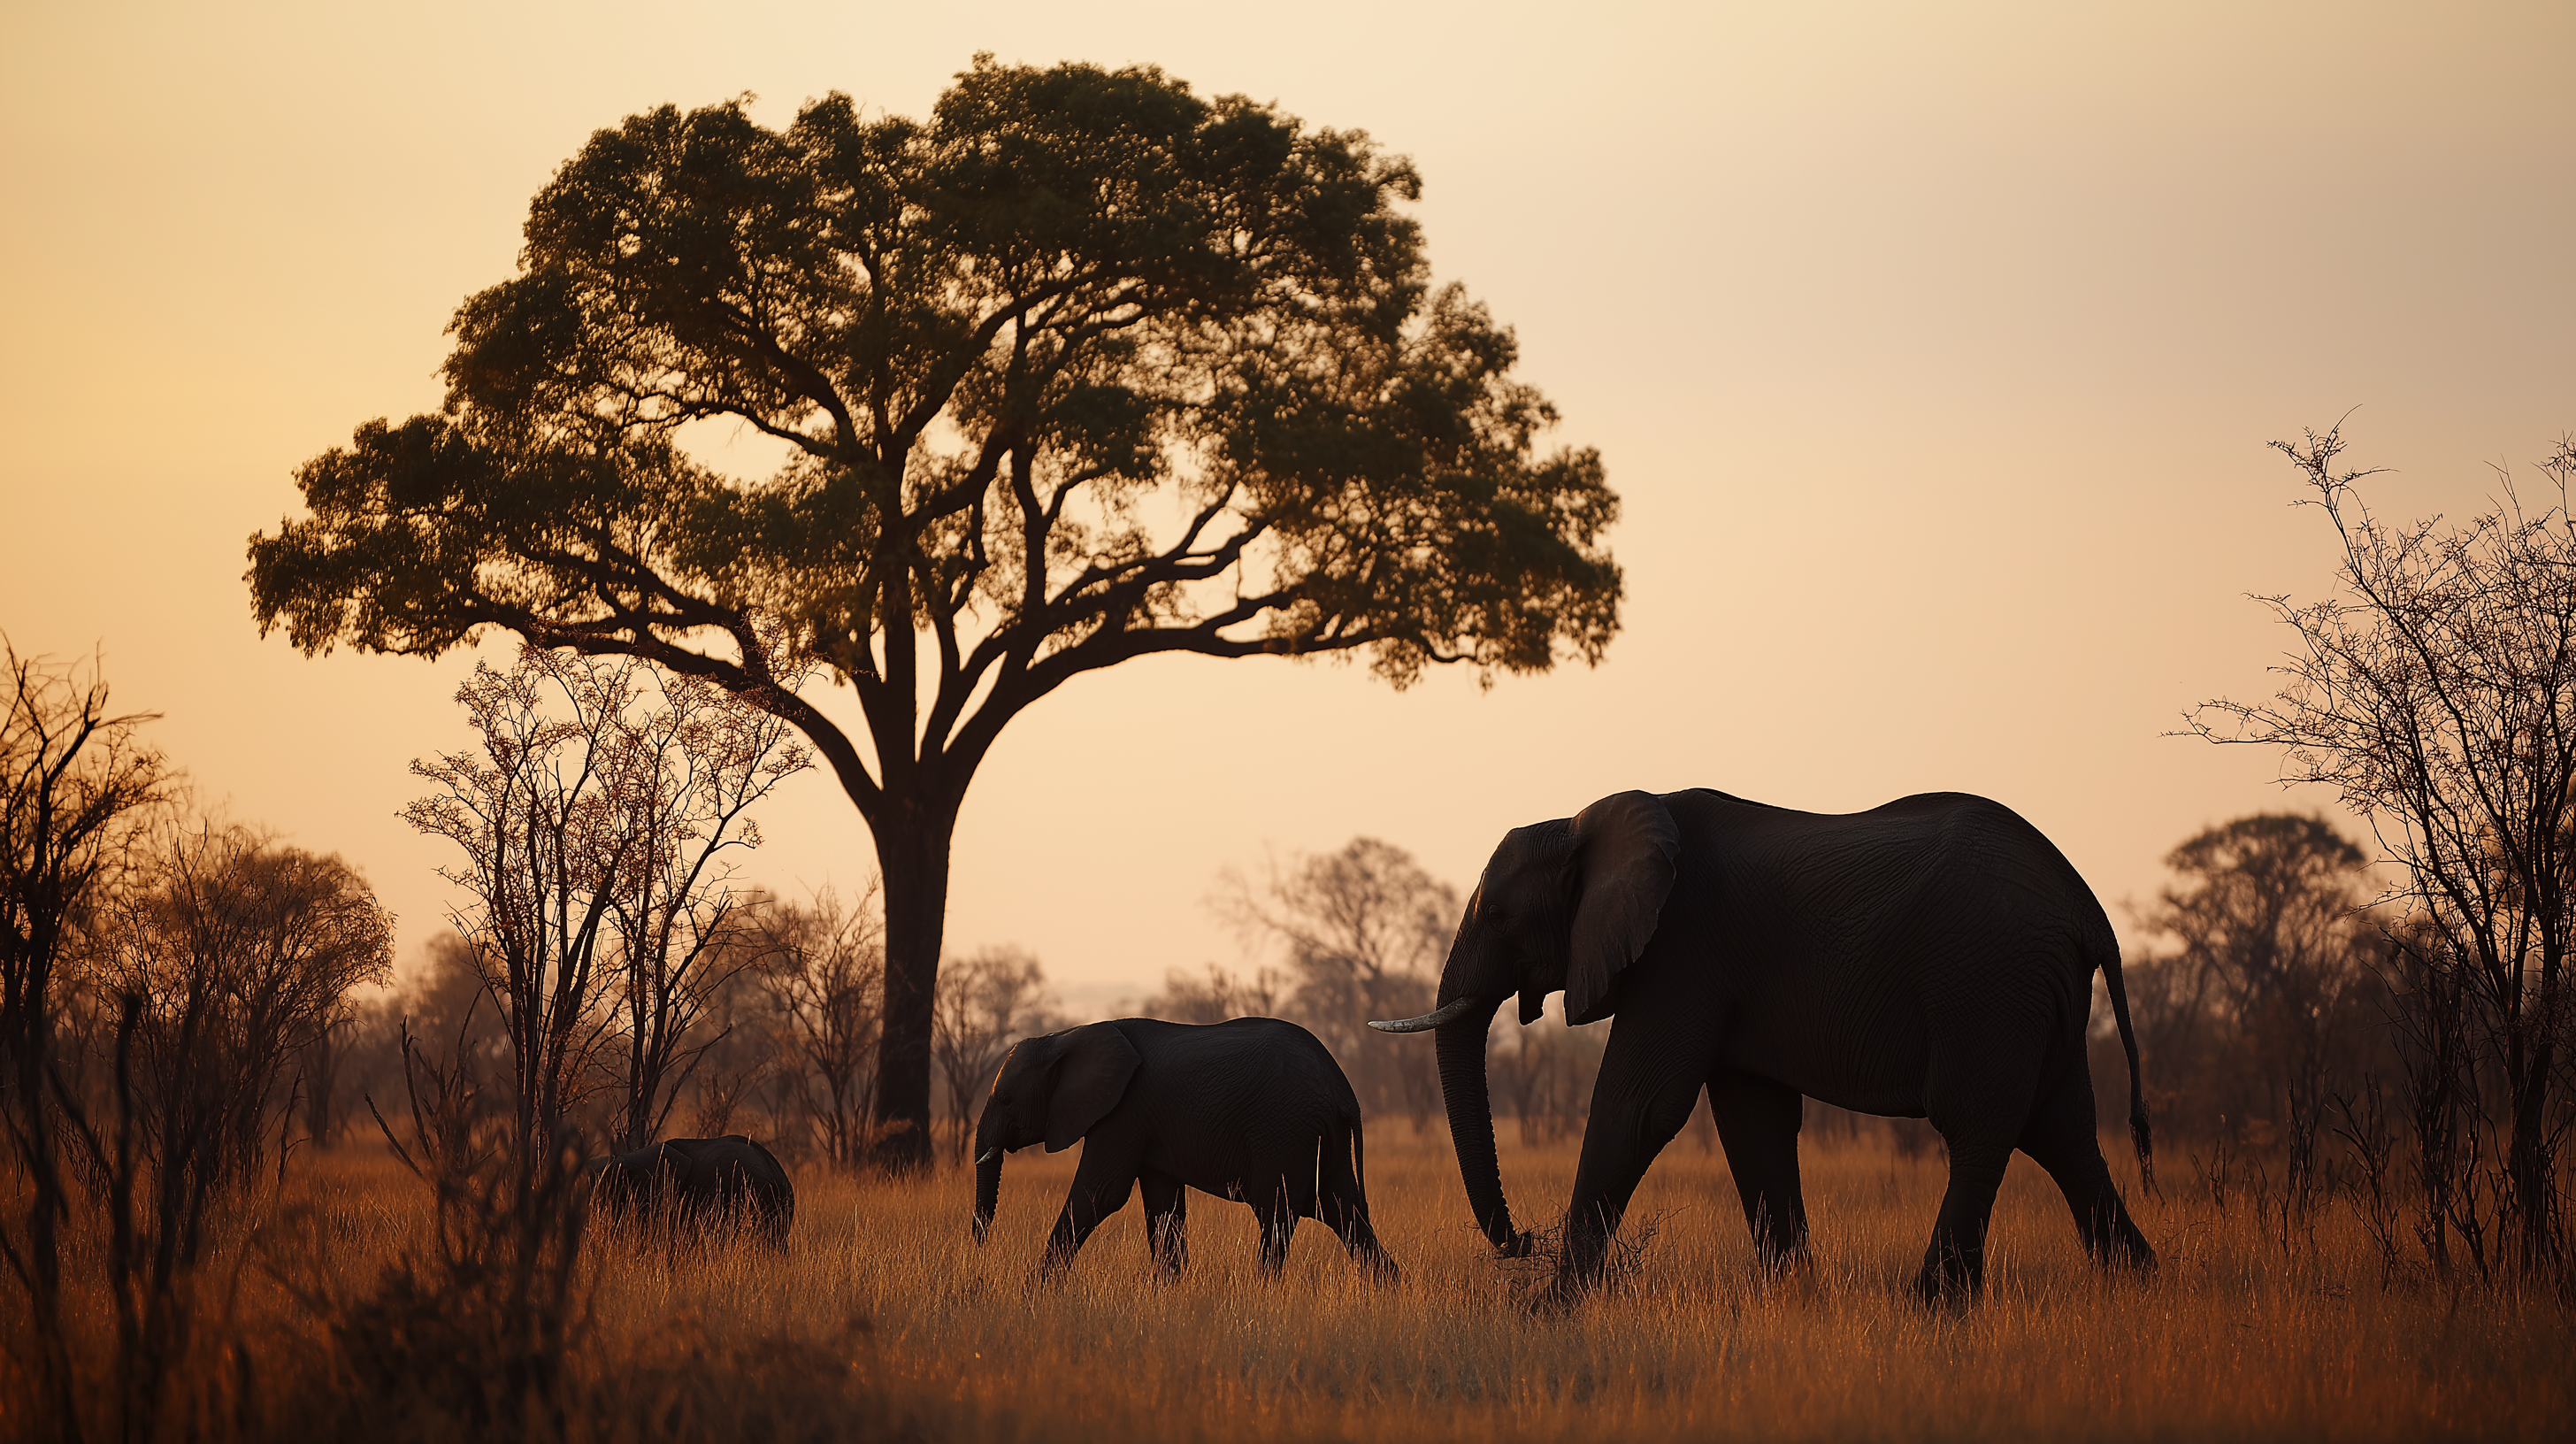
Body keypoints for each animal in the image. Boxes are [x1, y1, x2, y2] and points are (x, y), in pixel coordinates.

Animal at [972, 1017, 1398, 1281]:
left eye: (1006, 1100)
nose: (979, 1256)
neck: (1065, 1037)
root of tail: (1344, 1091)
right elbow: (1163, 1207)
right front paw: (1166, 1293)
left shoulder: (1123, 1112)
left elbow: (1100, 1195)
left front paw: (1031, 1293)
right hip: (1323, 1140)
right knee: (1345, 1213)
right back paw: (1393, 1291)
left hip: (1285, 1131)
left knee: (1277, 1214)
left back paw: (1262, 1294)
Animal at [1371, 788, 2155, 1304]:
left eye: (1501, 916)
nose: (1522, 1239)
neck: (1579, 825)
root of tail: (2089, 908)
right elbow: (1752, 1123)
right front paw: (1793, 1299)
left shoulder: (1682, 948)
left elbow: (1639, 1108)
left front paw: (1549, 1312)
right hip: (2032, 994)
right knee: (2062, 1132)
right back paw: (2139, 1283)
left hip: (1988, 983)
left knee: (1978, 1126)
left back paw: (1934, 1307)